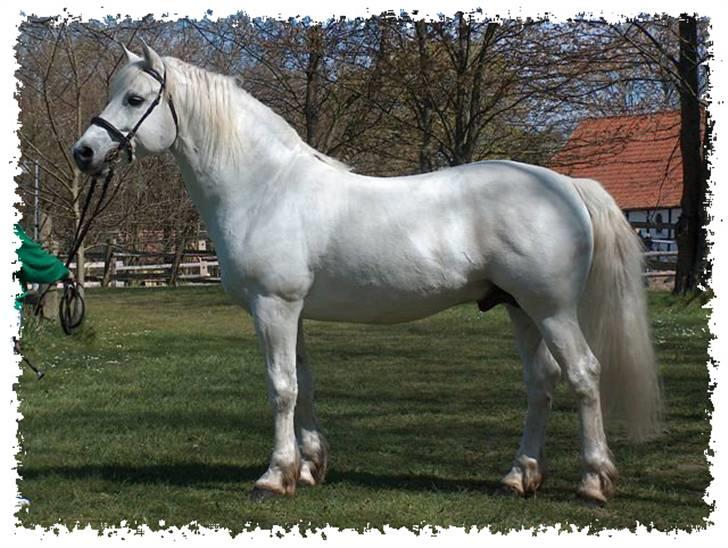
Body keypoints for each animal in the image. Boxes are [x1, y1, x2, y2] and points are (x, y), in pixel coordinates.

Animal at [72, 44, 660, 506]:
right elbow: (304, 383)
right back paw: (518, 478)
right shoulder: (293, 312)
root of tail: (566, 184)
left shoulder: (274, 307)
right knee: (541, 384)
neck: (264, 187)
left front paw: (274, 476)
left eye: (134, 99)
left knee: (584, 374)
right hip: (520, 309)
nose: (84, 152)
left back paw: (592, 482)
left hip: (551, 309)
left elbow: (280, 387)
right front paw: (308, 467)